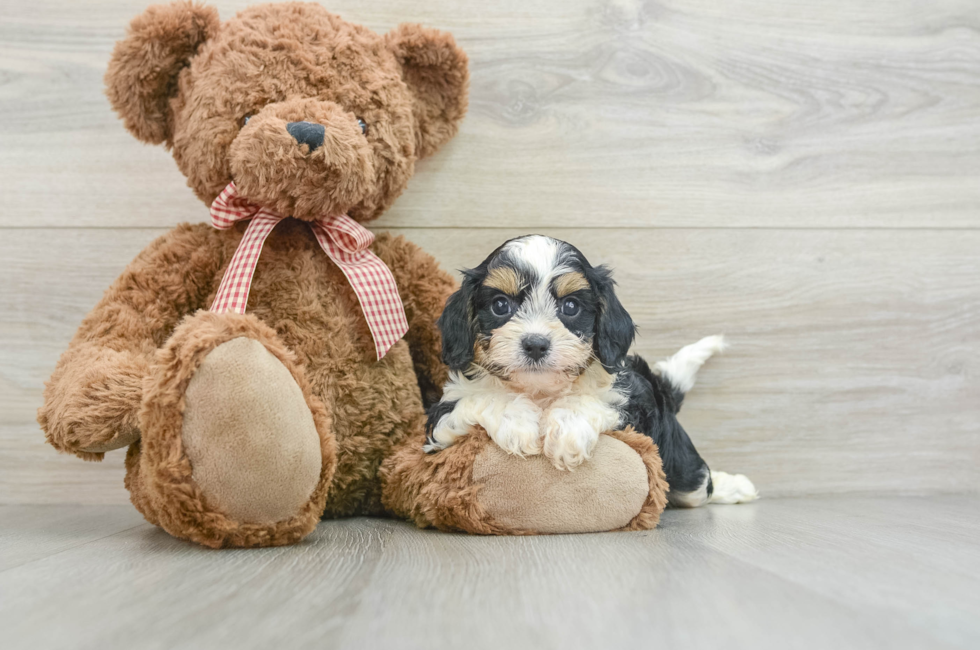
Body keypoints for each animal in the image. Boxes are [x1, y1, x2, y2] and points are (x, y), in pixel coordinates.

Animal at [424, 234, 756, 506]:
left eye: (570, 307)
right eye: (500, 305)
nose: (535, 344)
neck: (540, 391)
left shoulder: (630, 406)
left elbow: (595, 401)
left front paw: (567, 429)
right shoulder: (440, 421)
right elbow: (479, 400)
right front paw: (517, 421)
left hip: (679, 462)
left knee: (697, 483)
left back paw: (733, 486)